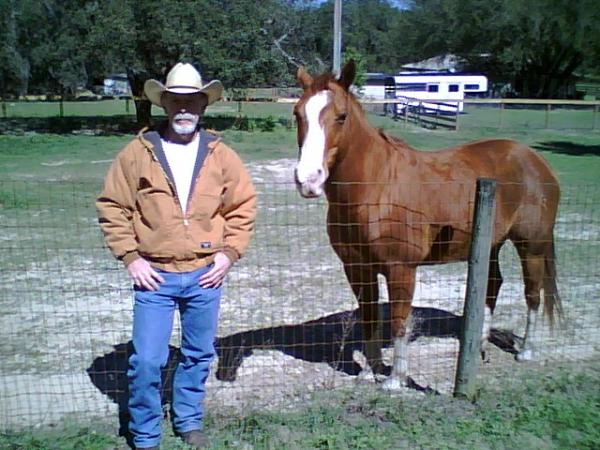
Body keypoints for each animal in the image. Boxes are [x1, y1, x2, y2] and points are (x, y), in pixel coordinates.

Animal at [296, 60, 564, 390]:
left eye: (341, 116)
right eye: (297, 114)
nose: (308, 180)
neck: (377, 189)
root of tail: (535, 160)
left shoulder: (401, 269)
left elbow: (399, 321)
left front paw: (395, 379)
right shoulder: (358, 268)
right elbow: (369, 317)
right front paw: (372, 369)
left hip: (532, 245)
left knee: (533, 293)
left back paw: (526, 350)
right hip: (490, 244)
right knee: (492, 285)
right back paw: (480, 346)